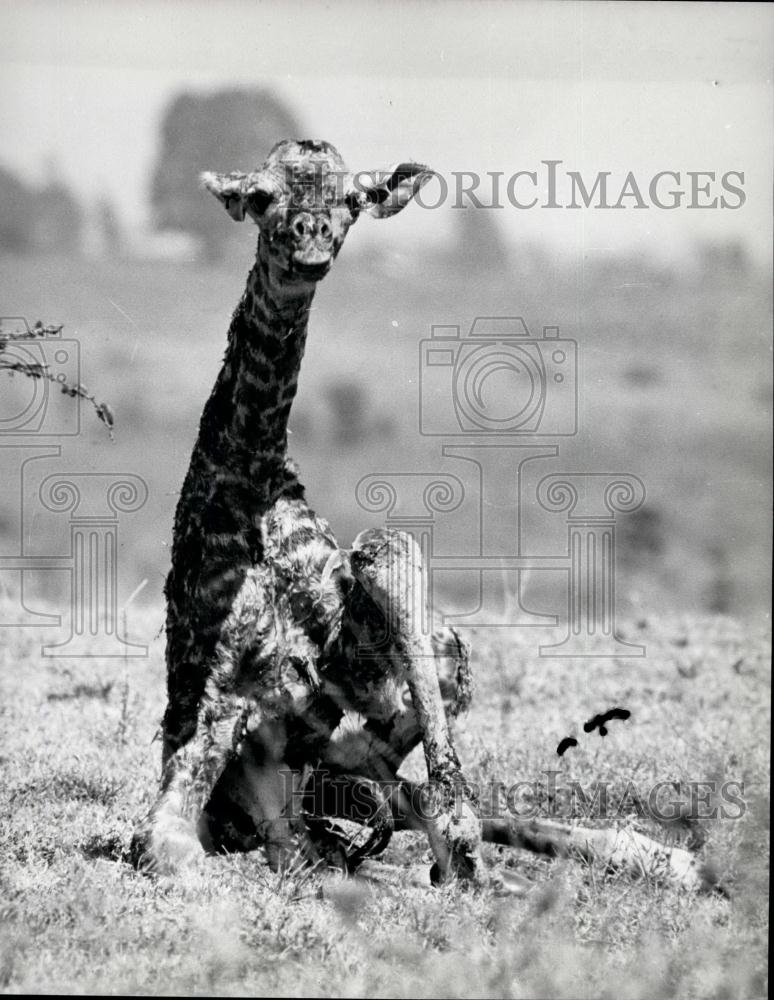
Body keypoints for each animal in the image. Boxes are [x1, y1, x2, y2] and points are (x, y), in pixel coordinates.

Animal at [132, 139, 486, 884]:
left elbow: (391, 553)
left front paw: (462, 834)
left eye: (352, 199)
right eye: (262, 197)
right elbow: (166, 841)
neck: (251, 476)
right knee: (296, 833)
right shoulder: (215, 702)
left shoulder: (365, 670)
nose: (311, 241)